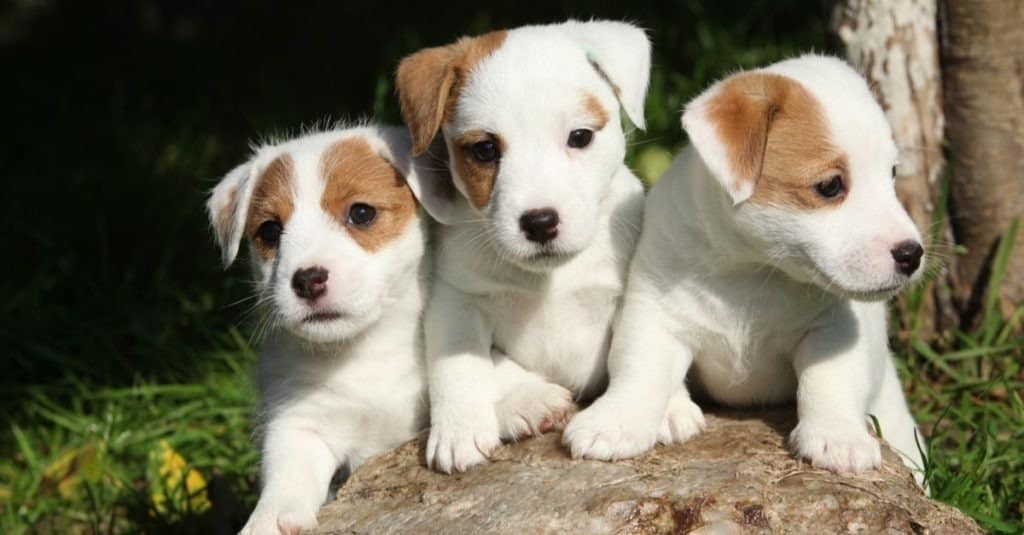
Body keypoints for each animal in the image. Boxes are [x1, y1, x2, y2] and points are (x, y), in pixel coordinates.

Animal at [205, 122, 430, 528]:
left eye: (361, 213)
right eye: (270, 231)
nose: (308, 279)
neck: (363, 351)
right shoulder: (298, 425)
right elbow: (288, 479)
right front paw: (269, 521)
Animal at [393, 19, 647, 471]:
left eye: (579, 137)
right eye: (485, 149)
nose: (540, 222)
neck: (549, 278)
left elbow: (636, 352)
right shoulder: (455, 300)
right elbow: (460, 362)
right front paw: (459, 428)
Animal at [569, 56, 929, 481]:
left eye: (892, 174)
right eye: (830, 186)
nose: (912, 254)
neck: (753, 270)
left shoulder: (832, 328)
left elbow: (829, 379)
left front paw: (838, 437)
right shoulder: (656, 315)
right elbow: (638, 368)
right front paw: (615, 421)